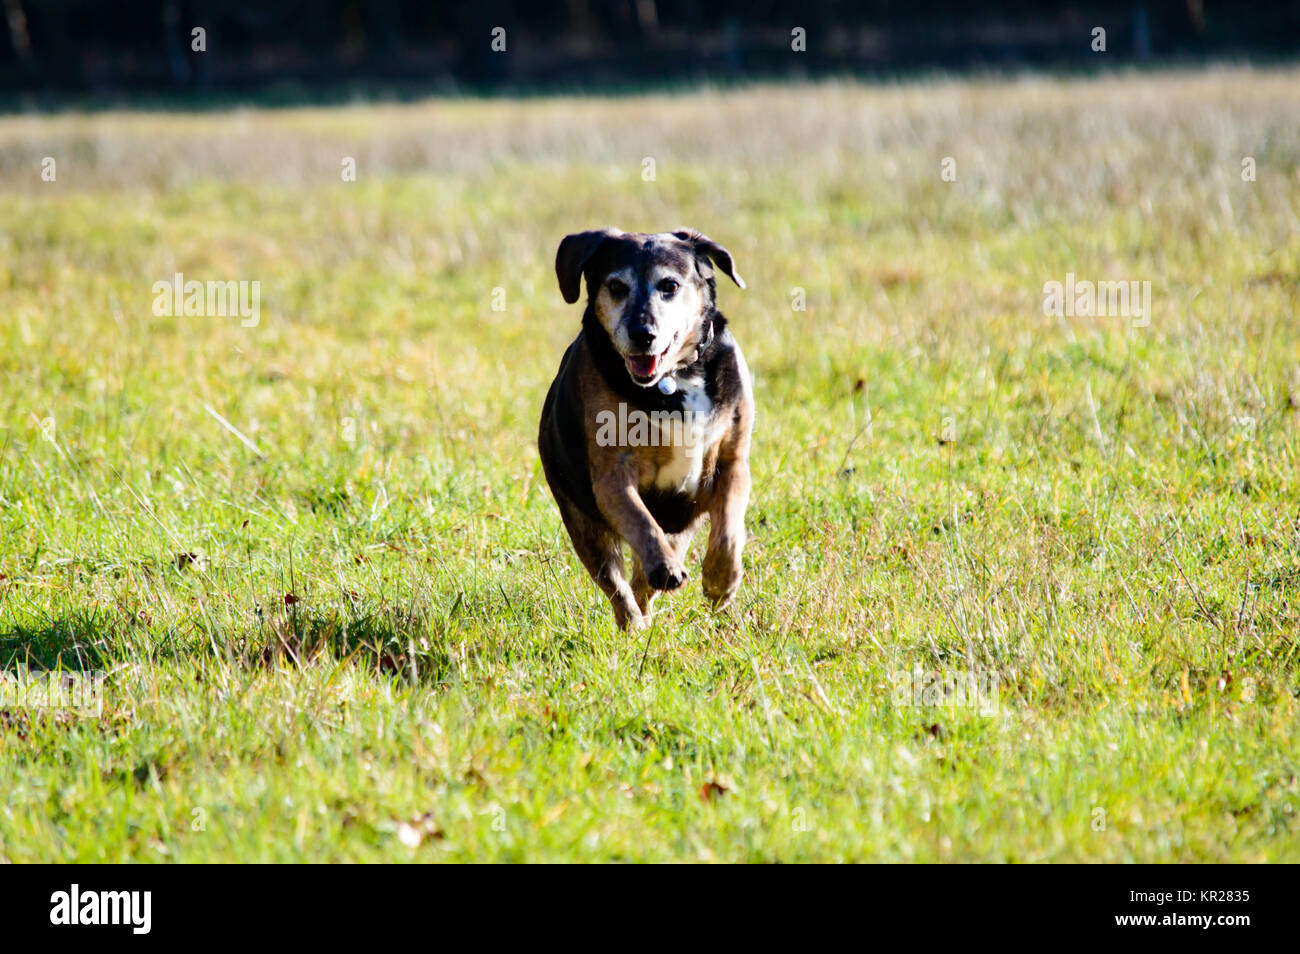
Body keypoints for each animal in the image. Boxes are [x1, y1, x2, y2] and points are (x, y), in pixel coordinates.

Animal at [538, 227, 759, 631]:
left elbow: (729, 528)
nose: (642, 333)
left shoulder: (733, 462)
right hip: (582, 521)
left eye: (669, 285)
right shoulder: (611, 477)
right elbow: (641, 523)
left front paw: (720, 580)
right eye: (616, 286)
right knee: (618, 584)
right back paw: (635, 623)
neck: (676, 377)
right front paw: (664, 567)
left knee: (644, 581)